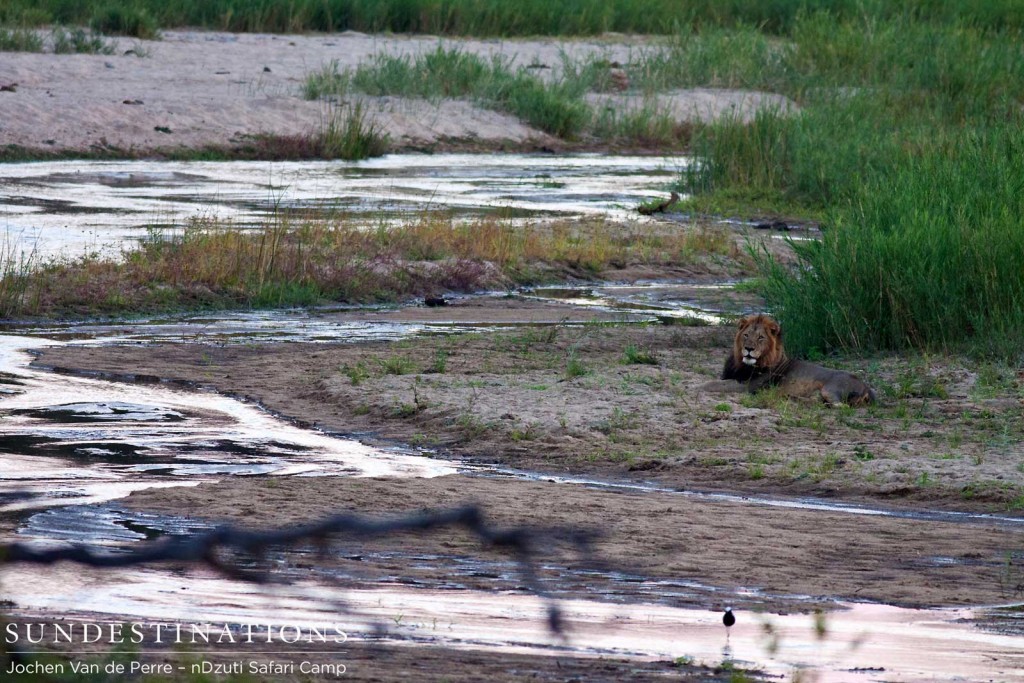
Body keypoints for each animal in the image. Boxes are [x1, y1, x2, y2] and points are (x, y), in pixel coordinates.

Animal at [704, 313, 880, 405]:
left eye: (761, 338)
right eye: (746, 335)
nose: (749, 349)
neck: (742, 364)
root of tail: (867, 387)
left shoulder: (748, 386)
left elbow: (712, 384)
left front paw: (699, 387)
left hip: (830, 389)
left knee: (839, 406)